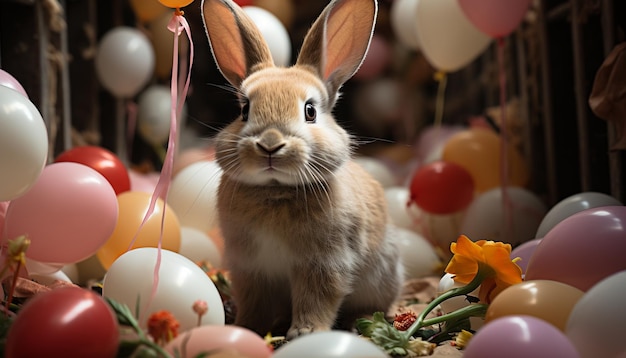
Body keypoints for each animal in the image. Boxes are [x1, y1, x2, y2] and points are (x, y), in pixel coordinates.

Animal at [202, 0, 402, 338]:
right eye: (244, 110)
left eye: (310, 111)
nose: (270, 144)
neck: (275, 189)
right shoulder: (250, 267)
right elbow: (254, 301)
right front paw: (246, 328)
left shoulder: (323, 263)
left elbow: (317, 298)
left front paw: (305, 333)